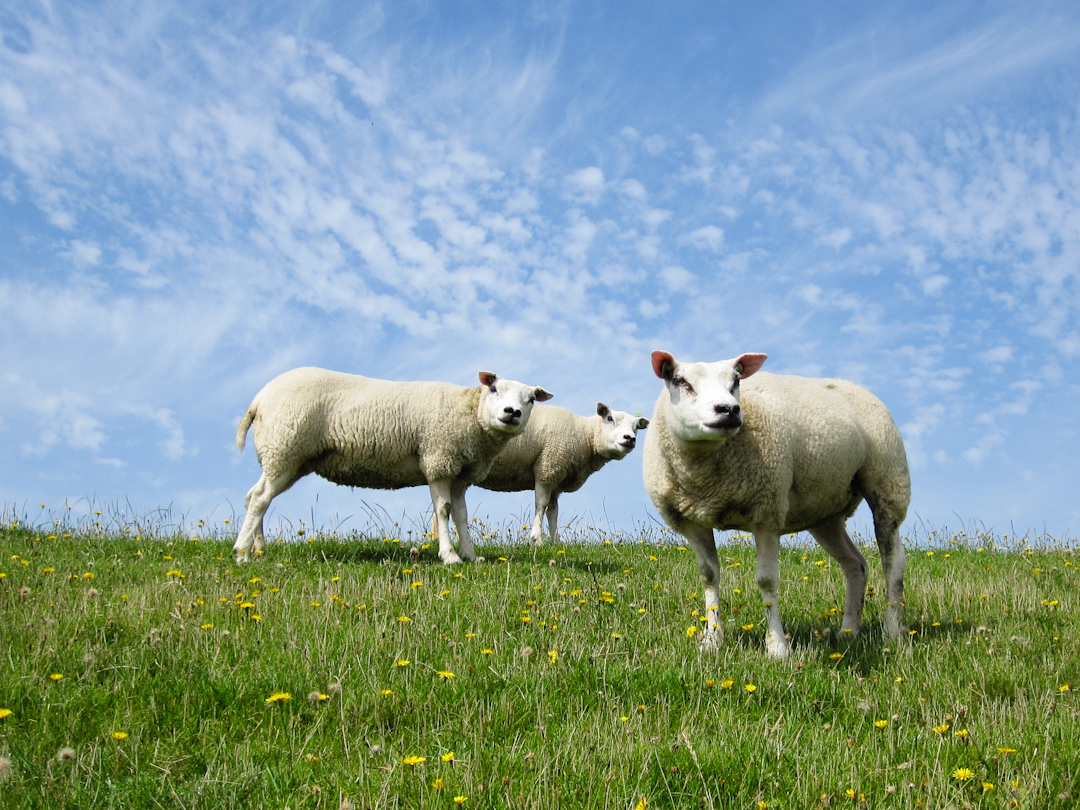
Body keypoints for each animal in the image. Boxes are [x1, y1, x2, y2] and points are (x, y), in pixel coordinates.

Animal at [232, 367, 552, 565]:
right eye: (494, 389)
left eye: (531, 399)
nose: (512, 412)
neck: (470, 414)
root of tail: (259, 399)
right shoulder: (438, 460)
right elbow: (444, 511)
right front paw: (449, 556)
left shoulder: (460, 472)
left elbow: (461, 516)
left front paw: (471, 556)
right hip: (285, 446)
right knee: (259, 498)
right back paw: (241, 552)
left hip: (289, 459)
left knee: (254, 496)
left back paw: (258, 549)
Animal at [473, 401, 648, 542]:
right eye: (610, 418)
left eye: (637, 427)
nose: (629, 438)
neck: (584, 436)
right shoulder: (547, 470)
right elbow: (541, 505)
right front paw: (537, 539)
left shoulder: (556, 481)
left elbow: (553, 511)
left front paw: (555, 541)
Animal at [639, 352, 911, 656]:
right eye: (680, 380)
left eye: (736, 380)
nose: (729, 410)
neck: (705, 480)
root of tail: (854, 386)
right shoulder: (692, 522)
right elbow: (709, 576)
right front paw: (712, 640)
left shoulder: (767, 512)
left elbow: (766, 580)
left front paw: (777, 647)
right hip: (825, 514)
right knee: (856, 565)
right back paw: (849, 631)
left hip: (888, 482)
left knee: (893, 561)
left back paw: (891, 630)